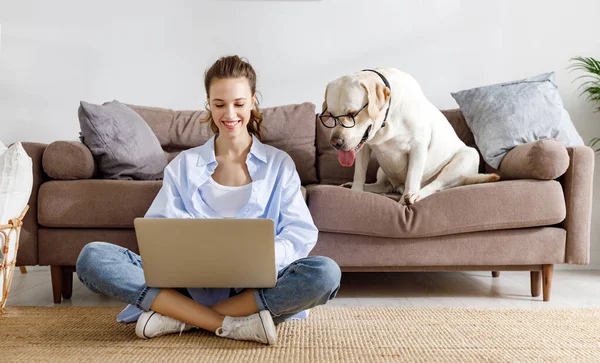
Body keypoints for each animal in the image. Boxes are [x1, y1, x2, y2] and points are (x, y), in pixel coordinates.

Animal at [322, 67, 500, 205]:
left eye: (352, 114)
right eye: (331, 114)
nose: (335, 142)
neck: (386, 119)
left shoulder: (418, 147)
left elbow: (412, 177)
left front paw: (404, 202)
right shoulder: (363, 147)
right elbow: (359, 173)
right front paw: (356, 192)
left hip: (467, 157)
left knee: (436, 184)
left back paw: (417, 194)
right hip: (382, 169)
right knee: (384, 185)